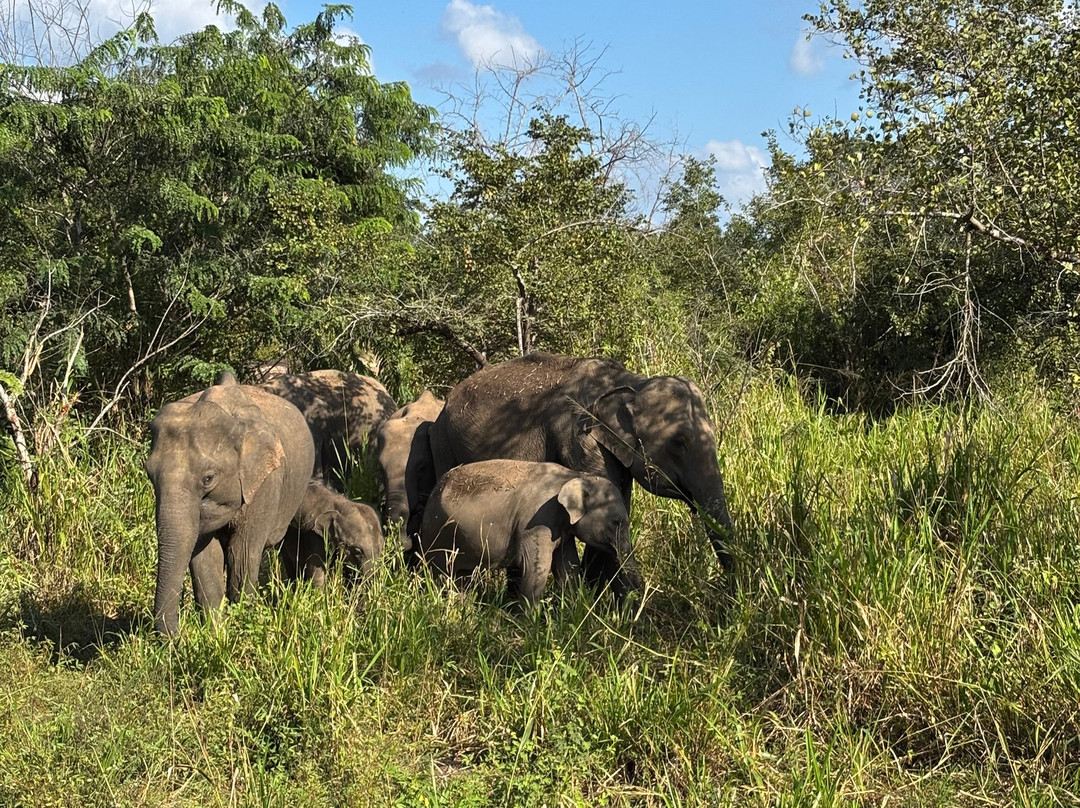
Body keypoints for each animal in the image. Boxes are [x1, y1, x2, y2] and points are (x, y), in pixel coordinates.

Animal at [145, 379, 315, 636]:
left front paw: (242, 625)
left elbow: (242, 552)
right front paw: (216, 633)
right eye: (148, 473)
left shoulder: (265, 483)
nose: (177, 637)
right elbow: (205, 556)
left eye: (208, 478)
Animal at [417, 459, 639, 608]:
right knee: (441, 574)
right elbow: (537, 566)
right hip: (437, 536)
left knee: (461, 578)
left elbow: (567, 566)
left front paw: (572, 610)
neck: (576, 476)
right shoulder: (536, 520)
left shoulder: (561, 528)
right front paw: (529, 623)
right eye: (616, 522)